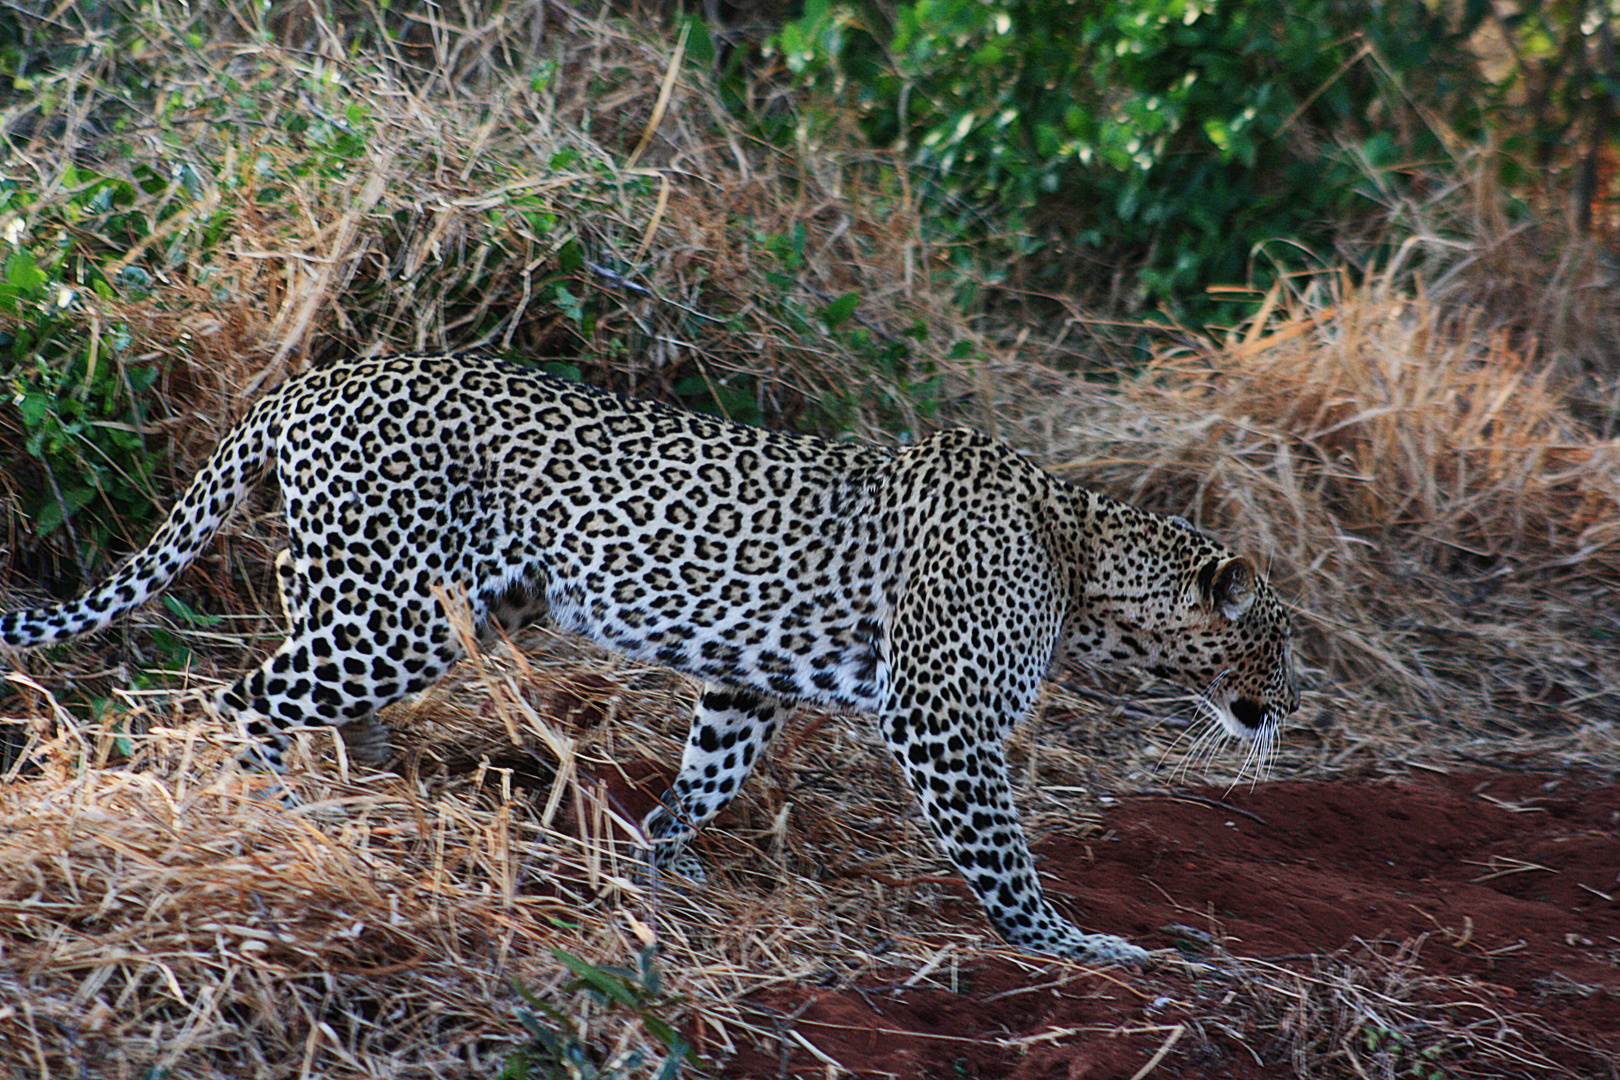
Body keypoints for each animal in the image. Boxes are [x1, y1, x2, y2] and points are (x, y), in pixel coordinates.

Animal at [0, 352, 1296, 965]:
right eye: (1279, 640)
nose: (1291, 704)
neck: (1085, 566)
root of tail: (315, 381)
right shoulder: (942, 720)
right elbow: (1006, 864)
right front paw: (1072, 946)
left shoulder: (746, 683)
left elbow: (707, 776)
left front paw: (660, 867)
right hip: (390, 614)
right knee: (244, 697)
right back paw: (282, 814)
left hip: (407, 597)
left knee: (298, 666)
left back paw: (365, 790)